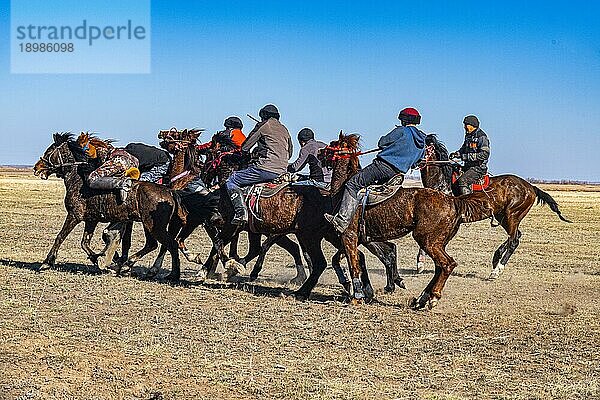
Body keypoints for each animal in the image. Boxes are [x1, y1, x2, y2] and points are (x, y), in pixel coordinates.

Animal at [32, 133, 183, 280]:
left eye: (49, 151)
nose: (36, 168)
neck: (78, 181)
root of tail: (169, 191)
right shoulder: (91, 220)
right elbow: (85, 242)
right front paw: (99, 259)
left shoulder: (74, 216)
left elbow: (60, 237)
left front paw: (46, 262)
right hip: (149, 225)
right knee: (153, 244)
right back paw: (129, 265)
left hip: (154, 226)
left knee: (170, 244)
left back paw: (171, 274)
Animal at [420, 134, 568, 278]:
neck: (442, 181)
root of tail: (531, 187)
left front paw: (420, 264)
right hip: (503, 216)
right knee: (516, 236)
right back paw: (497, 257)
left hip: (511, 215)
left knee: (514, 240)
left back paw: (496, 270)